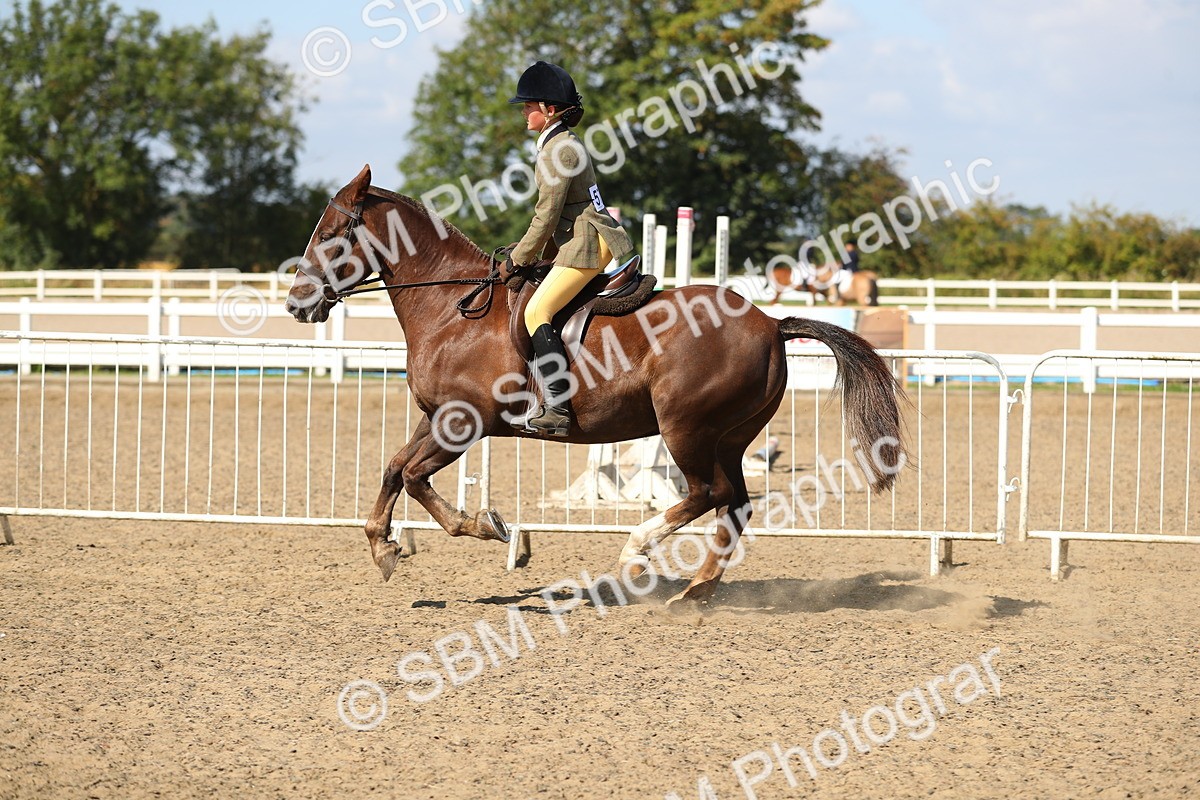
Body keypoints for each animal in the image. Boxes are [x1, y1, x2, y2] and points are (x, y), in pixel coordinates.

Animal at [285, 165, 906, 605]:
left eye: (332, 234)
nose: (296, 305)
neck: (452, 307)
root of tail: (771, 323)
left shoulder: (464, 422)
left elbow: (415, 478)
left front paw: (485, 526)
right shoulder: (437, 417)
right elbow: (395, 468)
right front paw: (383, 546)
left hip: (686, 427)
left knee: (709, 493)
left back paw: (637, 553)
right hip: (729, 436)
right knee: (734, 505)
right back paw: (695, 591)